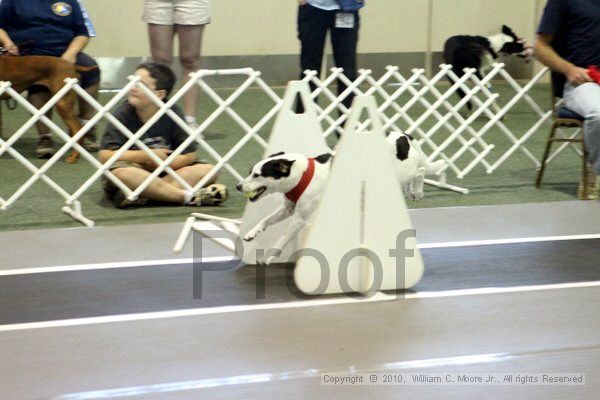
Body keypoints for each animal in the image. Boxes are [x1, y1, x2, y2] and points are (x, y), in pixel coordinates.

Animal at [236, 131, 446, 264]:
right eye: (250, 172)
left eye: (257, 175)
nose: (238, 186)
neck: (300, 174)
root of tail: (403, 136)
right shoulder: (288, 208)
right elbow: (265, 220)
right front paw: (251, 233)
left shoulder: (300, 218)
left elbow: (282, 239)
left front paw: (267, 258)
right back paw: (410, 191)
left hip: (402, 171)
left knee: (420, 171)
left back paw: (418, 191)